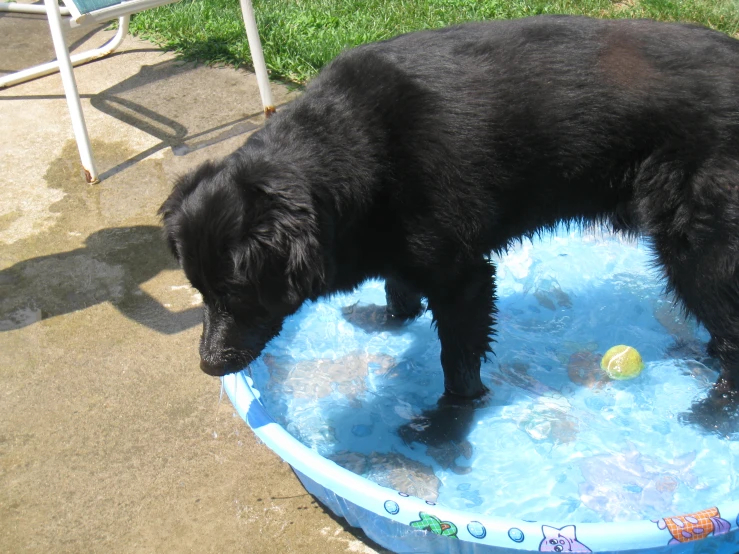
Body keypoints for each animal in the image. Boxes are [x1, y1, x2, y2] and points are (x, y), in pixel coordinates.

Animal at [160, 15, 739, 398]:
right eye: (199, 292)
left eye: (238, 293)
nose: (210, 366)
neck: (351, 147)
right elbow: (398, 292)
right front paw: (387, 320)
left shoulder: (464, 277)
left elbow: (458, 360)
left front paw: (446, 422)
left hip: (699, 252)